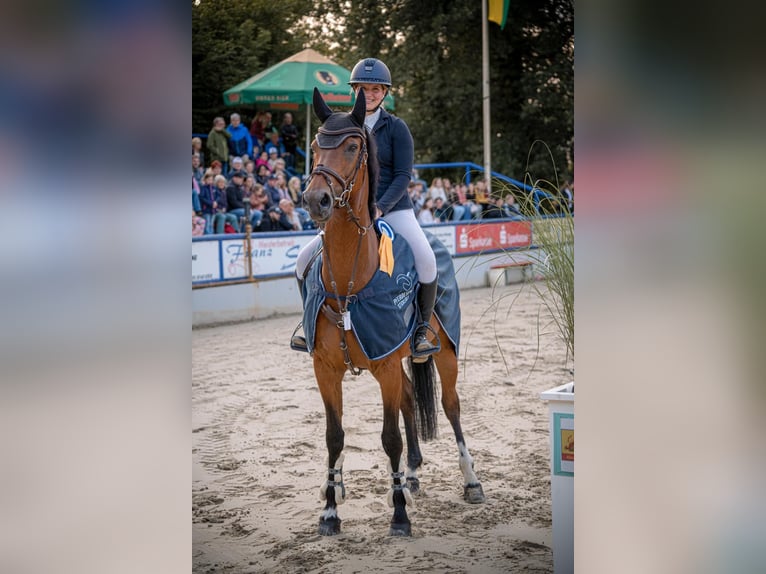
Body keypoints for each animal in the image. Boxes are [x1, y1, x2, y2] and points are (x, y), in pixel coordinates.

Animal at [299, 87, 485, 537]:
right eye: (314, 147)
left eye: (352, 147)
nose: (316, 200)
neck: (349, 283)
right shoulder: (325, 369)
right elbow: (334, 436)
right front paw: (330, 510)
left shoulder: (384, 364)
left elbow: (390, 439)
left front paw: (399, 516)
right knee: (407, 401)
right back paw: (411, 476)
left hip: (445, 351)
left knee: (451, 406)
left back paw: (471, 481)